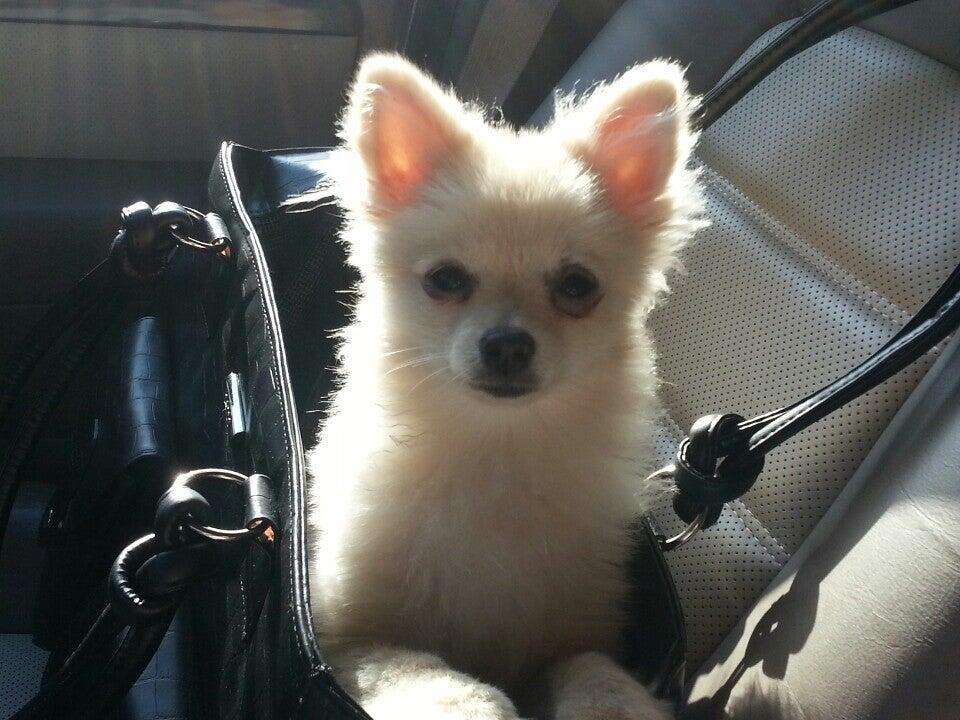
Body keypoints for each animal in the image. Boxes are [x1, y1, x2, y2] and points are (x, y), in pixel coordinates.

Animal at [307, 53, 703, 720]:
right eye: (445, 279)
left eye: (577, 286)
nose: (508, 344)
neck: (496, 447)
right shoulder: (346, 640)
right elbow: (424, 671)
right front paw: (467, 704)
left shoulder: (568, 636)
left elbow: (590, 669)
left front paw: (617, 703)